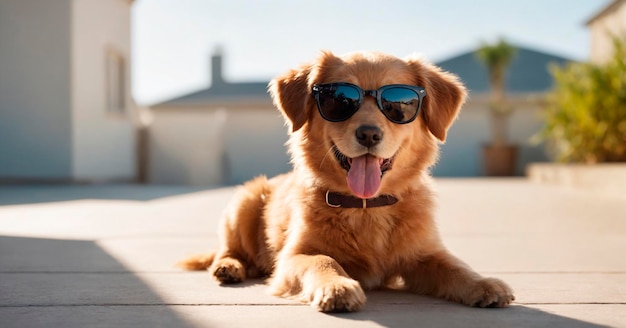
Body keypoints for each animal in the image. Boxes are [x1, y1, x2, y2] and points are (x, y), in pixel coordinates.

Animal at [180, 51, 512, 312]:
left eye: (398, 104)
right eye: (338, 100)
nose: (369, 134)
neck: (366, 208)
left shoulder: (424, 254)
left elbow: (455, 266)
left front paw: (483, 283)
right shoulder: (293, 256)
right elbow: (323, 260)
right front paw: (337, 286)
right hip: (245, 200)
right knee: (228, 249)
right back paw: (228, 267)